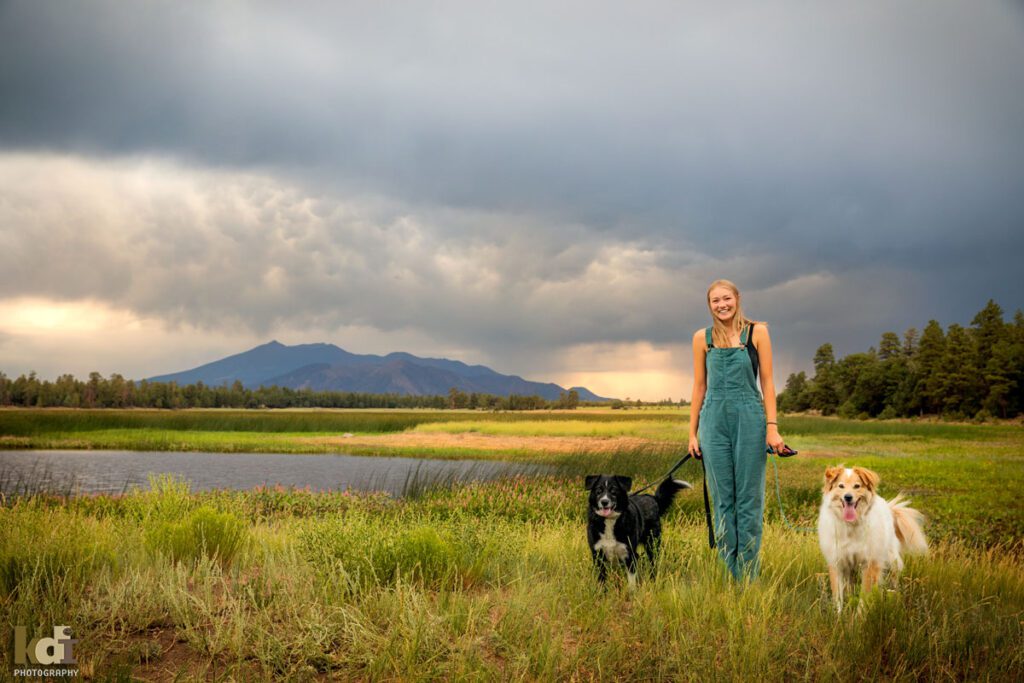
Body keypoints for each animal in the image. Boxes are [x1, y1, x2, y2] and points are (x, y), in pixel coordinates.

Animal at [815, 466, 929, 610]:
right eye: (841, 486)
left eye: (857, 486)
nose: (848, 497)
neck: (851, 525)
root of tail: (888, 507)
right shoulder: (837, 562)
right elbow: (838, 597)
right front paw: (839, 615)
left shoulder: (870, 563)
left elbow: (864, 596)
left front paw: (860, 615)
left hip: (891, 559)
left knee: (894, 578)